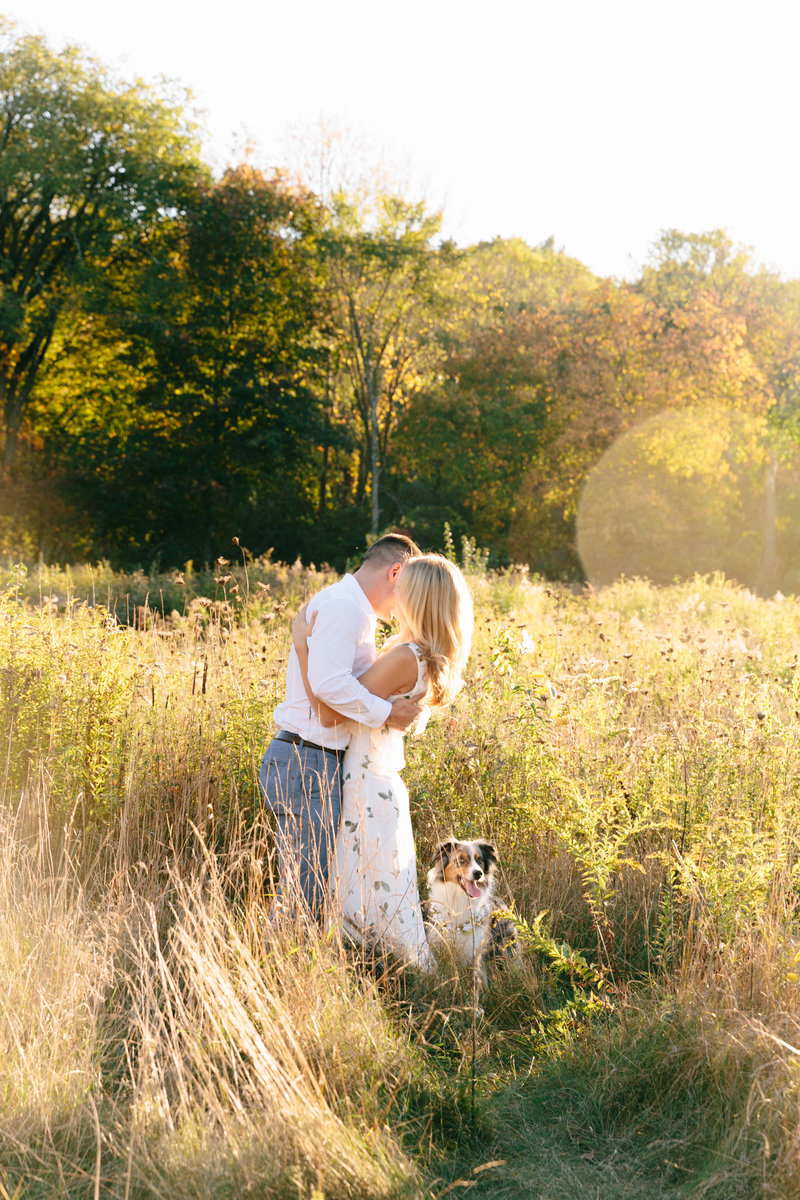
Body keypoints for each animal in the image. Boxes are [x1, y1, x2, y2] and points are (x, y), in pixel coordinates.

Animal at [424, 840, 520, 988]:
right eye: (461, 860)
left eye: (479, 860)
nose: (478, 874)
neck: (459, 897)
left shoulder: (475, 950)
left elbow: (478, 979)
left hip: (507, 946)